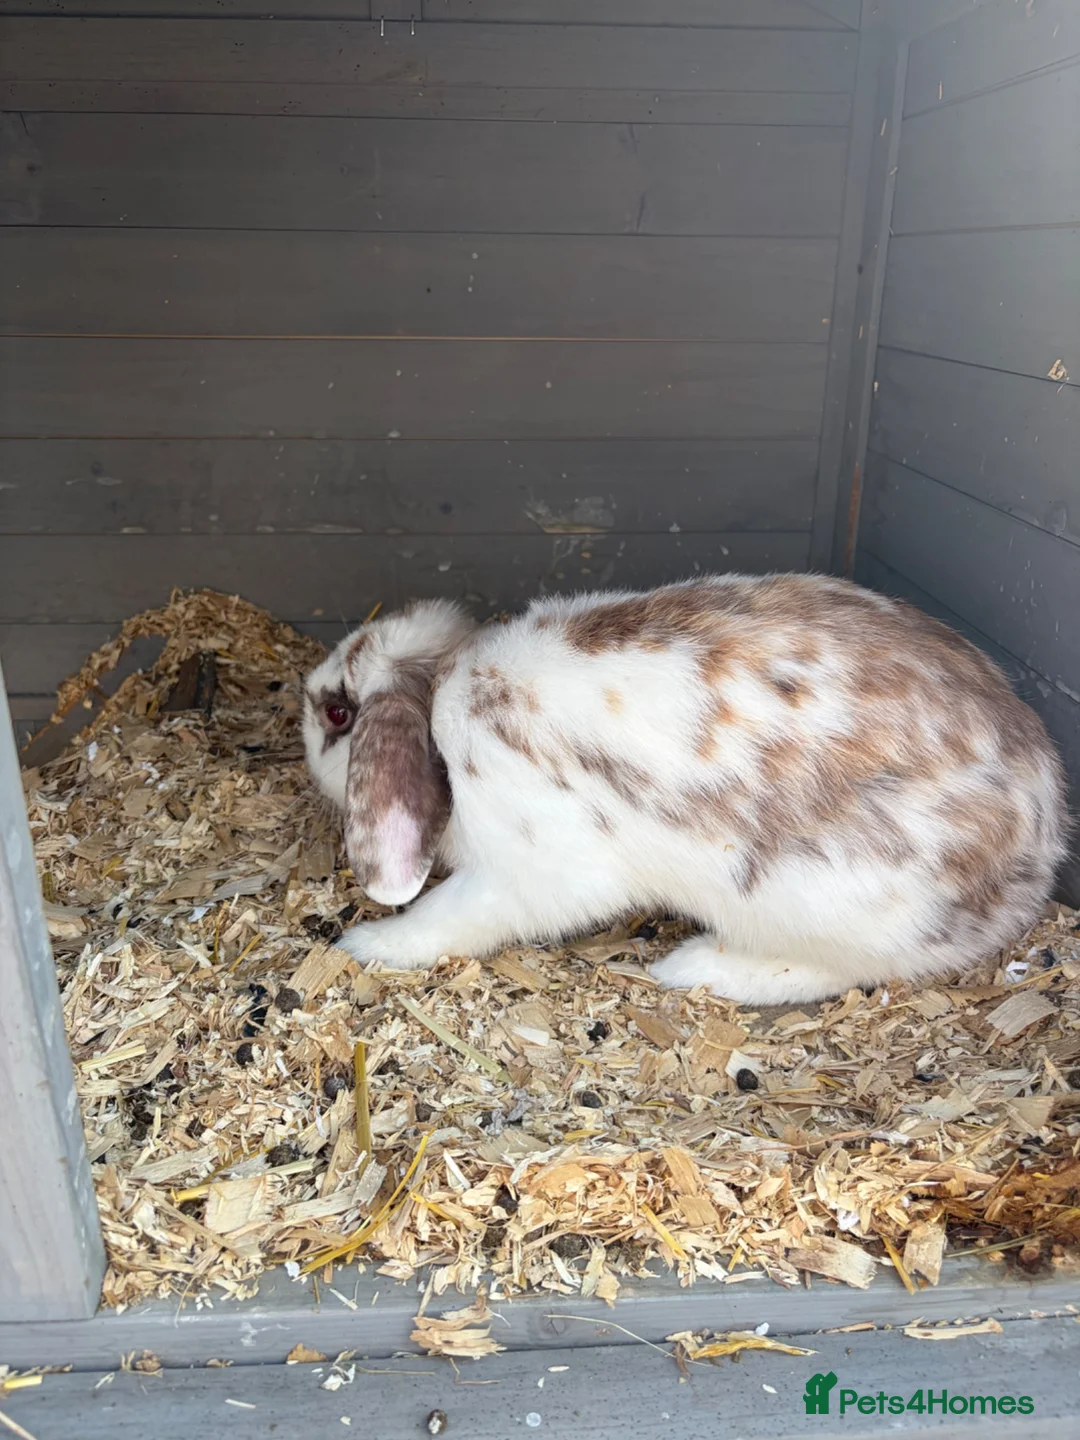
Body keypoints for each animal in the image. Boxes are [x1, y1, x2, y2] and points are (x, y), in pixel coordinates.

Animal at [301, 574, 1067, 1005]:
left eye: (338, 714)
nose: (302, 703)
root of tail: (1042, 847)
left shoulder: (524, 873)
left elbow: (448, 918)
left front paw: (369, 944)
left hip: (820, 907)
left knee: (847, 969)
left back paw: (694, 968)